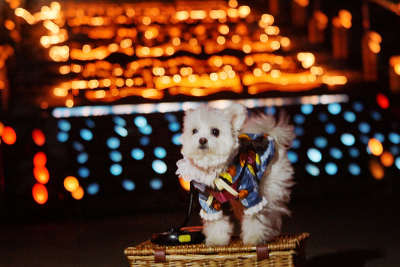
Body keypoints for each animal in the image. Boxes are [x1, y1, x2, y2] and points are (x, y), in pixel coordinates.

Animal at [177, 103, 296, 247]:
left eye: (215, 131)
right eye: (194, 131)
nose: (202, 140)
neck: (215, 168)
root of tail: (270, 134)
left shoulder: (251, 193)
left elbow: (254, 216)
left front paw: (254, 237)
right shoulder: (208, 201)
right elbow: (216, 221)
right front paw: (217, 239)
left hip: (271, 187)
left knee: (272, 212)